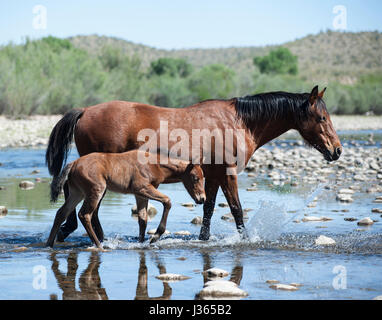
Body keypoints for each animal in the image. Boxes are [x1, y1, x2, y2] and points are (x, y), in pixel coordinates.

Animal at [47, 149, 206, 249]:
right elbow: (167, 201)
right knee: (84, 214)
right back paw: (99, 245)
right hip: (96, 190)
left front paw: (141, 243)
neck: (154, 165)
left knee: (61, 213)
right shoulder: (142, 188)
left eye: (203, 177)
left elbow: (143, 218)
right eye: (195, 177)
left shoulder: (140, 195)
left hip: (77, 192)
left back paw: (49, 244)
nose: (202, 198)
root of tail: (72, 163)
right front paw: (155, 236)